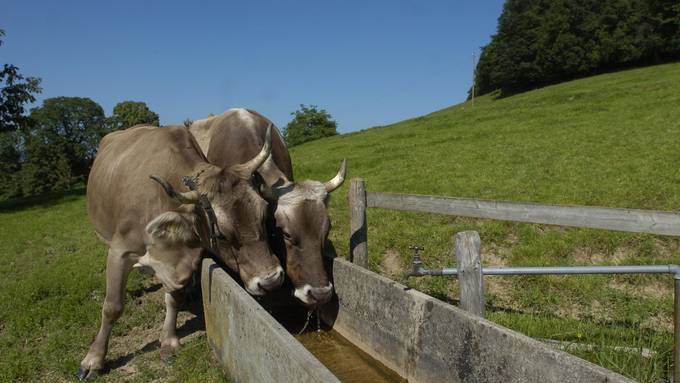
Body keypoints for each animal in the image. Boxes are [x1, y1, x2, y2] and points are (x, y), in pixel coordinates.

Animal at [75, 124, 282, 380]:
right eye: (222, 235)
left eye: (264, 215)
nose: (271, 280)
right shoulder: (119, 251)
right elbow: (112, 307)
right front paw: (93, 360)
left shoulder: (184, 265)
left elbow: (174, 299)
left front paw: (169, 340)